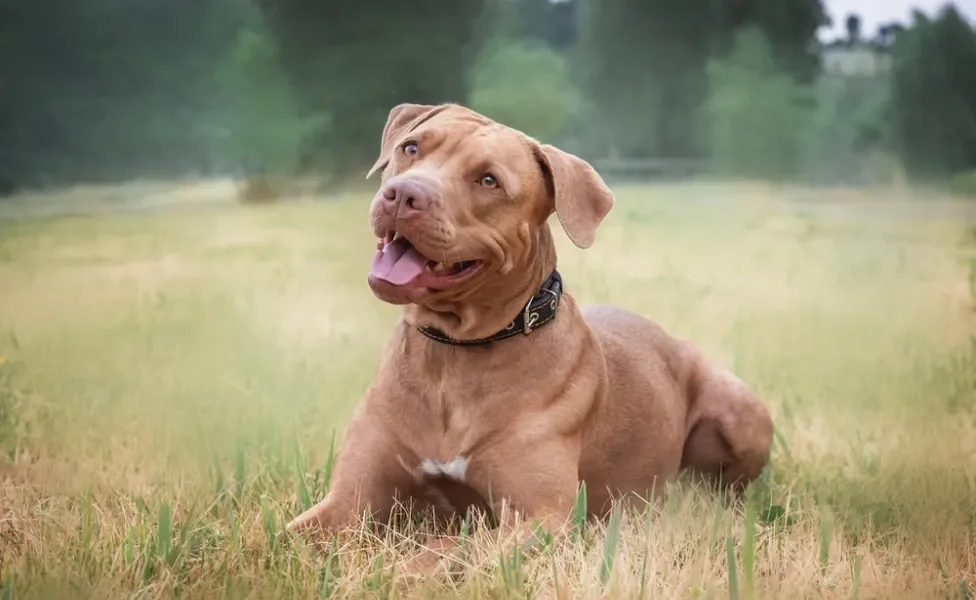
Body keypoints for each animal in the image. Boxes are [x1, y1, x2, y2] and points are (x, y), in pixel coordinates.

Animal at [286, 103, 772, 580]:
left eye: (488, 180)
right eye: (411, 148)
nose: (403, 195)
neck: (454, 354)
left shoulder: (537, 518)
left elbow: (445, 550)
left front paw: (386, 571)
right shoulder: (348, 500)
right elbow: (288, 536)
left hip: (736, 409)